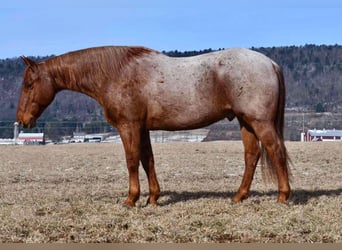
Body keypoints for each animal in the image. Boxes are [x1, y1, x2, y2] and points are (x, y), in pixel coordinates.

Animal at [16, 46, 292, 206]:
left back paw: (283, 196)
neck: (116, 73)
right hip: (246, 122)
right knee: (252, 155)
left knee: (276, 150)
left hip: (259, 121)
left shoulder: (128, 126)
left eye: (29, 84)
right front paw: (153, 197)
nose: (22, 120)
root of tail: (270, 63)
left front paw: (131, 199)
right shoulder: (143, 128)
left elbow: (131, 160)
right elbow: (147, 160)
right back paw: (239, 196)